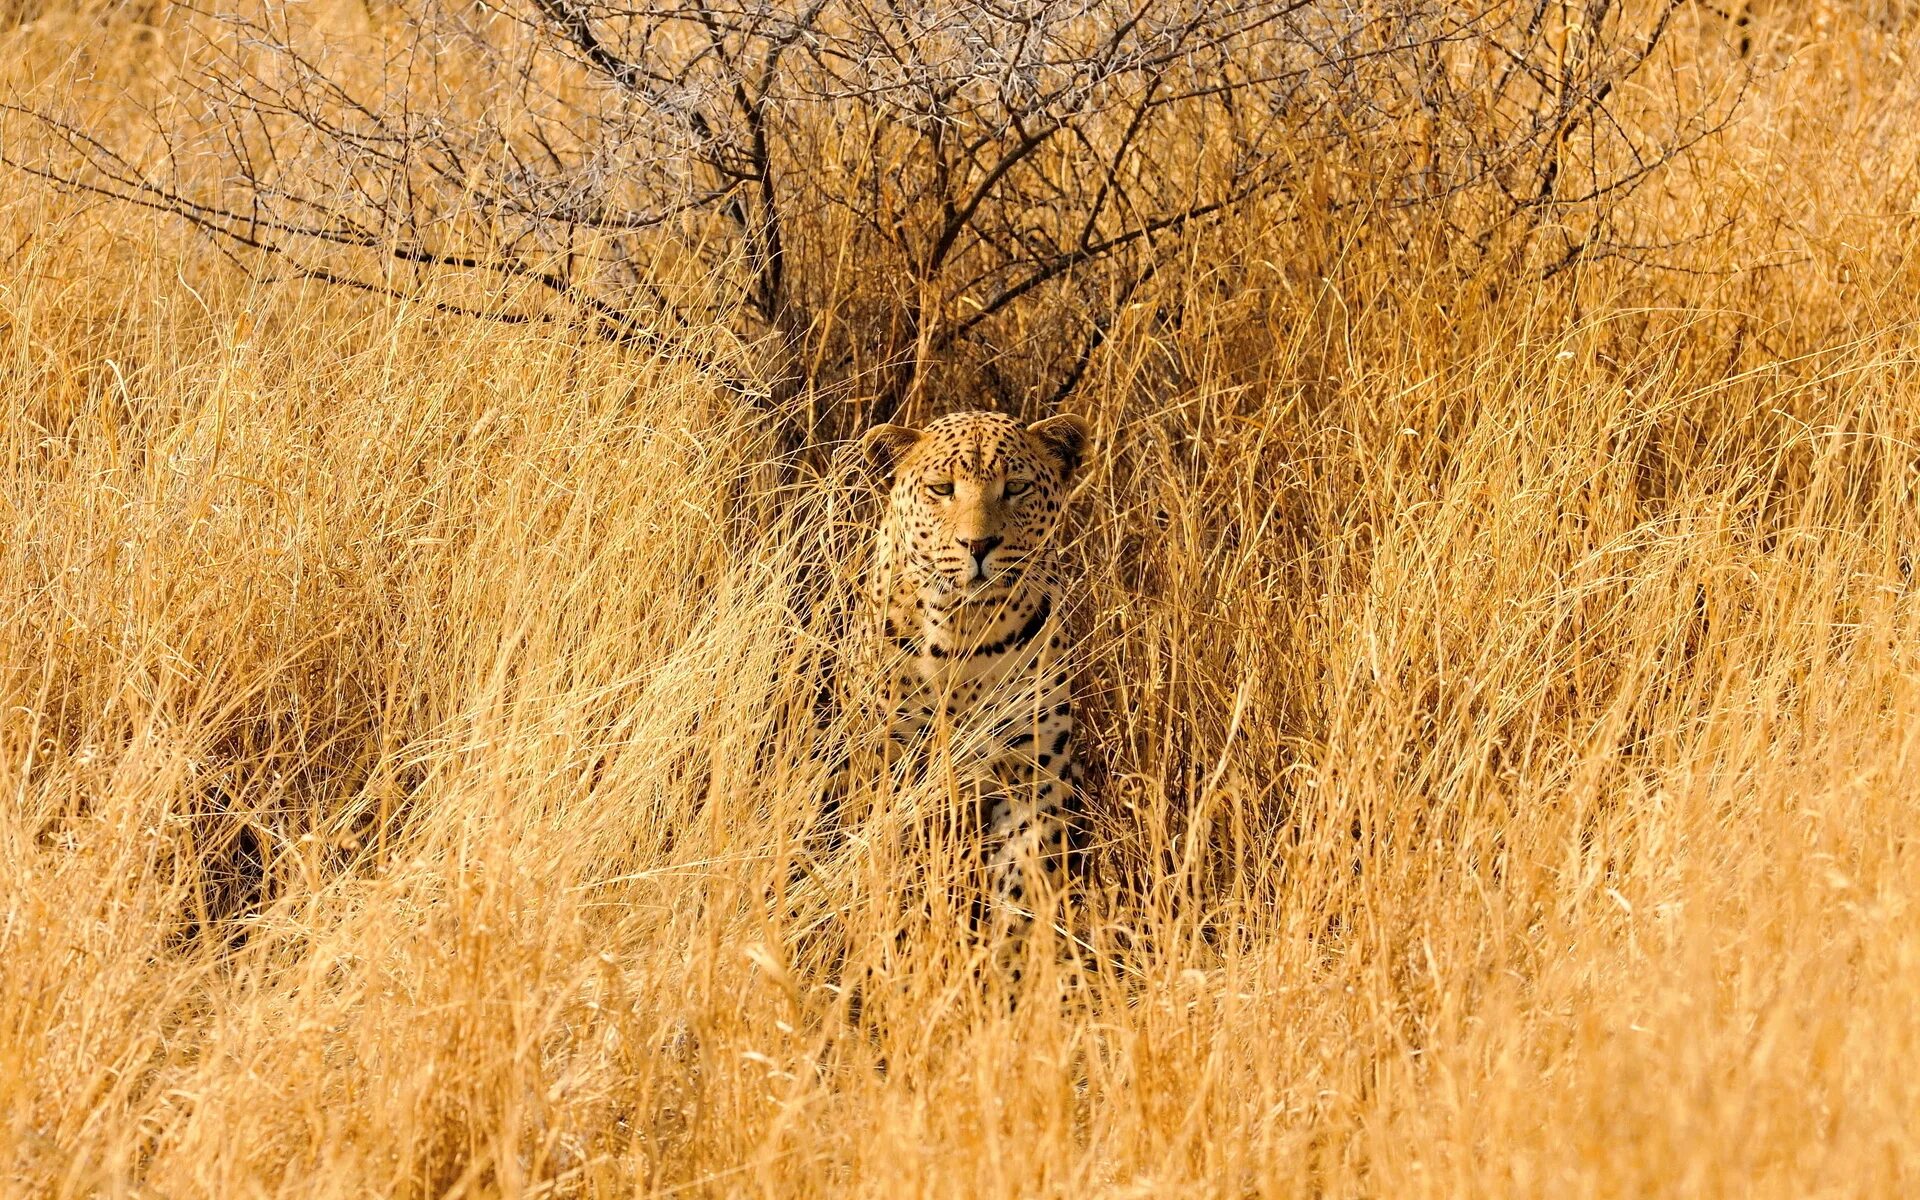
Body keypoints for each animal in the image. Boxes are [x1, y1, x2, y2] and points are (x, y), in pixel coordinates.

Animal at [856, 407, 1098, 979]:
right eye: (942, 489)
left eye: (1017, 488)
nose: (979, 546)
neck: (966, 634)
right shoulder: (898, 767)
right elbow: (907, 873)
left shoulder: (1032, 775)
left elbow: (1020, 890)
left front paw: (1004, 978)